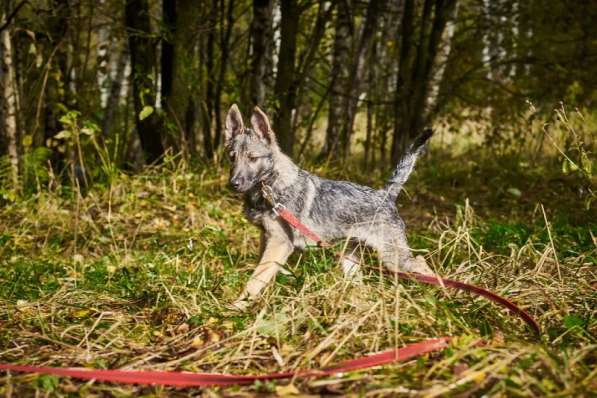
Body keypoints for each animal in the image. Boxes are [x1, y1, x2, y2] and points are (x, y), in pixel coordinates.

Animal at [226, 105, 430, 308]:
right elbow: (261, 276)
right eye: (232, 158)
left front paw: (237, 307)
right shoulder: (267, 239)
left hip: (394, 259)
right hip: (352, 261)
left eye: (253, 158)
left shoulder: (280, 243)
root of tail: (386, 194)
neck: (269, 186)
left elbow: (254, 282)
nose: (233, 183)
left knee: (422, 263)